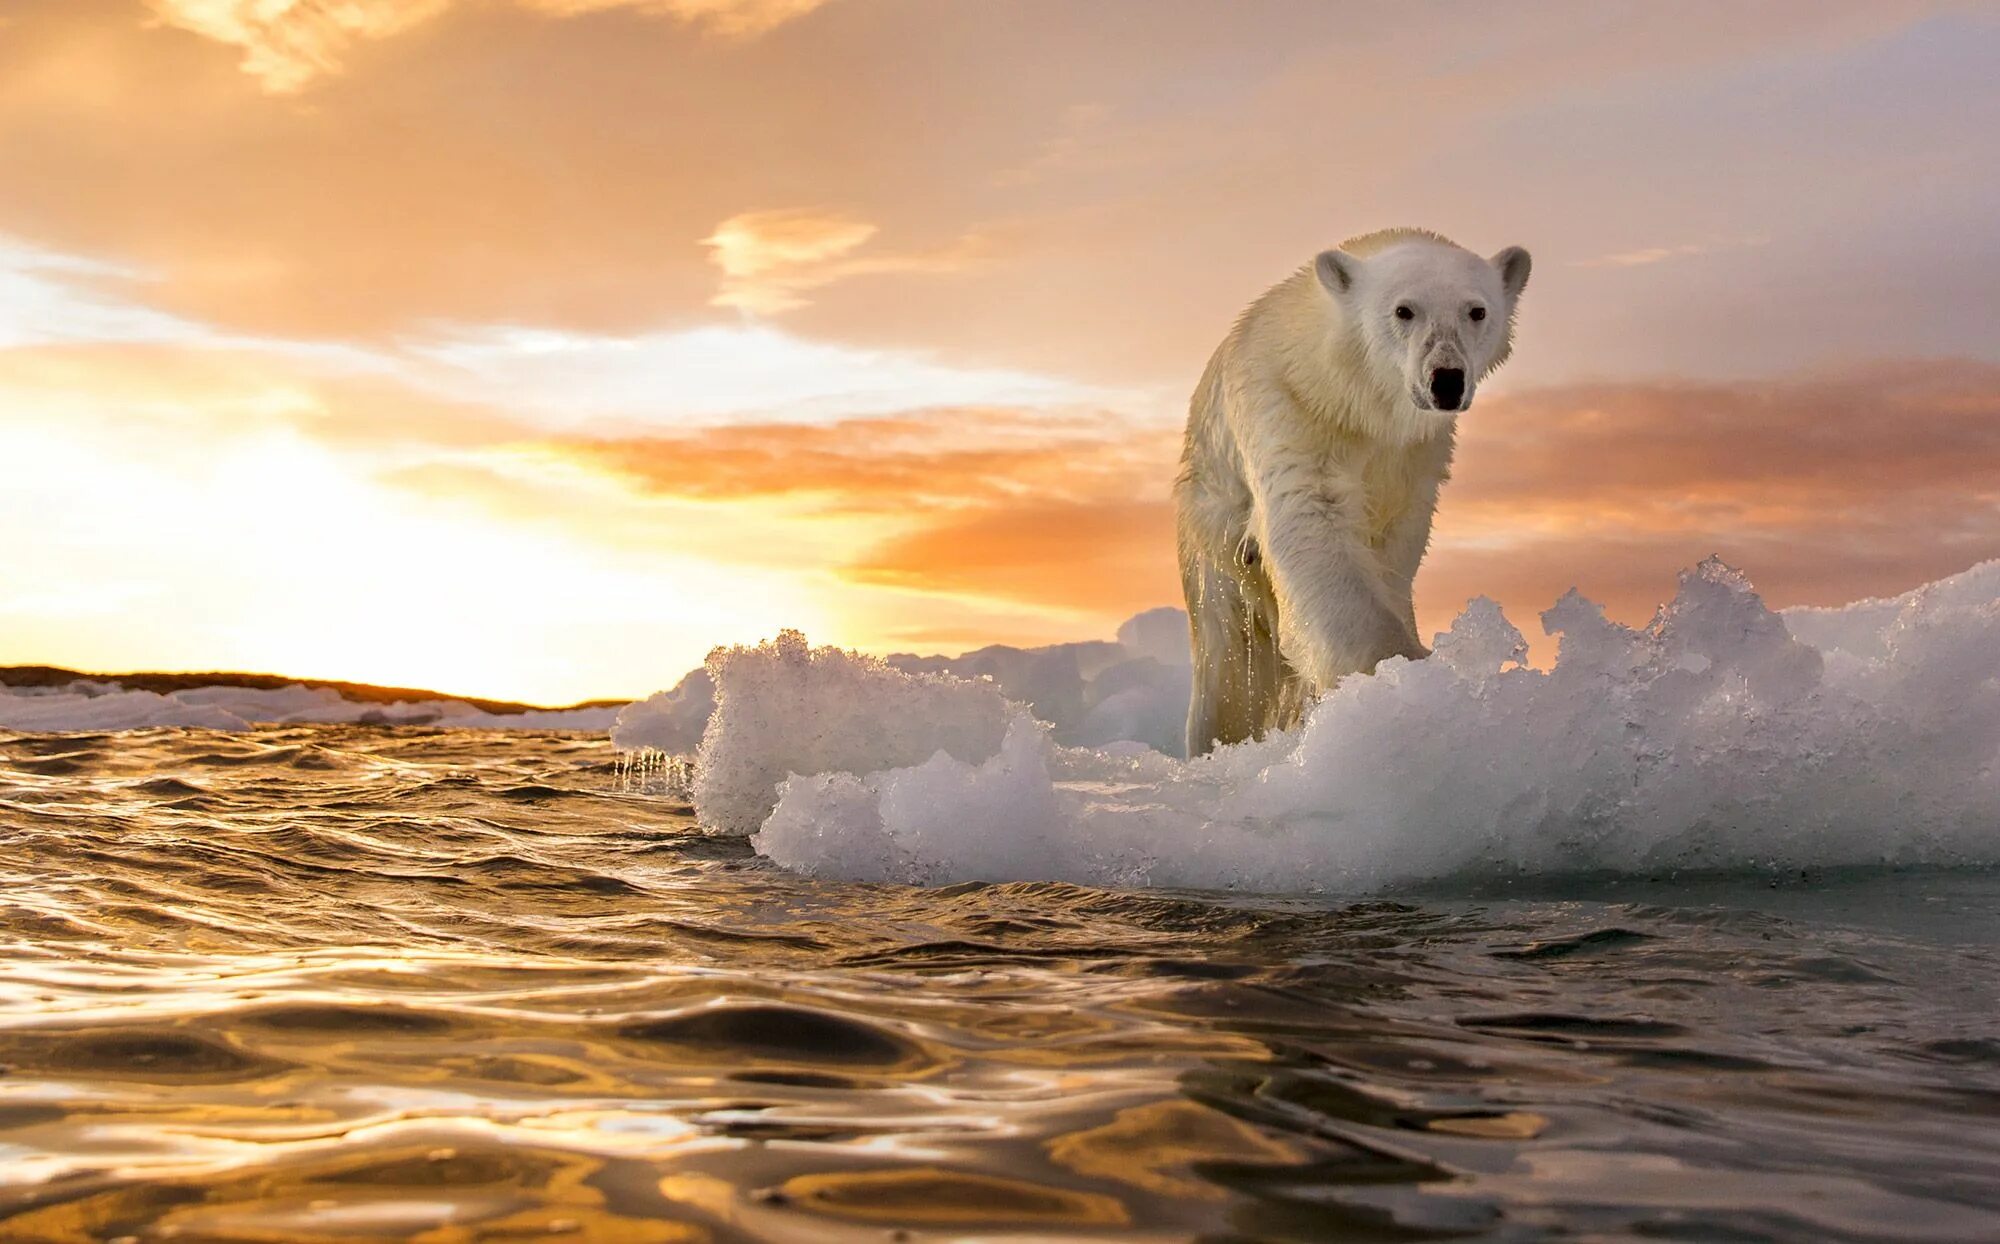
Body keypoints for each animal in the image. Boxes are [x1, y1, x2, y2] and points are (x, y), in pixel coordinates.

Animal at [1168, 229, 1528, 756]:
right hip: (1213, 538)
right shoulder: (1290, 409)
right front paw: (1399, 674)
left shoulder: (1414, 457)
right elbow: (1313, 524)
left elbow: (1395, 544)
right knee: (1230, 665)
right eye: (1404, 310)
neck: (1355, 400)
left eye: (1476, 310)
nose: (1446, 380)